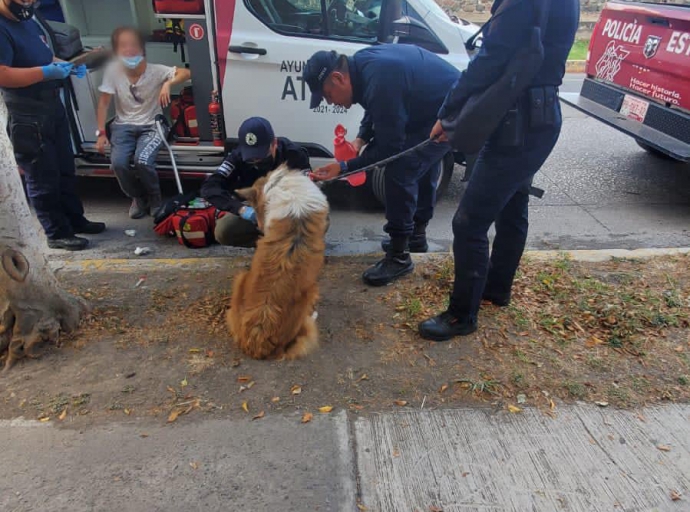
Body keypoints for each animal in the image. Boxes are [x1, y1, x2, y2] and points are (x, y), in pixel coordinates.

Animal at [227, 165, 330, 360]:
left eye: (256, 207)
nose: (259, 227)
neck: (279, 184)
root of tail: (258, 336)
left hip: (240, 278)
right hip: (310, 290)